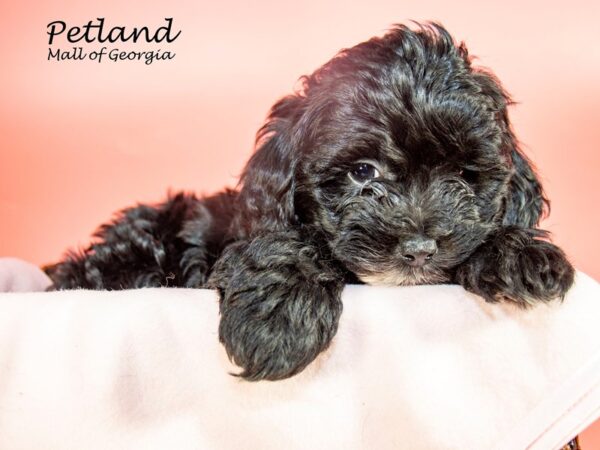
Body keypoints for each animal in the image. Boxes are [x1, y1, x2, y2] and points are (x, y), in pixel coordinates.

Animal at [45, 22, 572, 382]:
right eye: (363, 172)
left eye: (463, 176)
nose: (420, 249)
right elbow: (292, 247)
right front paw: (277, 323)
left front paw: (520, 255)